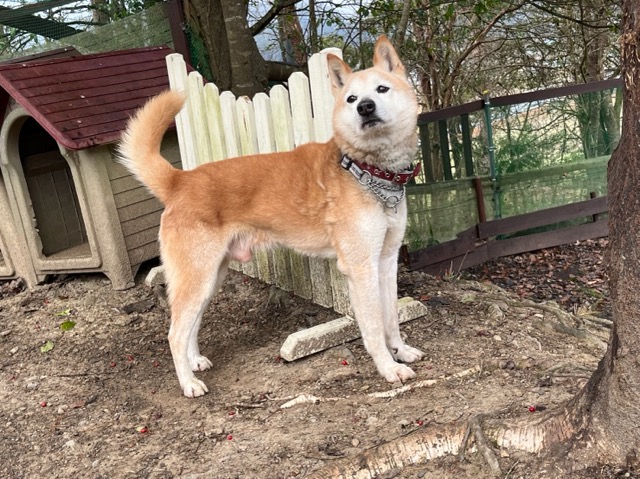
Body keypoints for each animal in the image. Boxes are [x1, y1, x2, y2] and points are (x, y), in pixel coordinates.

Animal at [118, 35, 425, 398]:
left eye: (381, 89)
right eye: (351, 98)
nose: (365, 107)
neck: (367, 171)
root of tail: (180, 180)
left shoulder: (386, 261)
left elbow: (392, 318)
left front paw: (401, 351)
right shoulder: (361, 268)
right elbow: (375, 327)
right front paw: (389, 367)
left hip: (210, 278)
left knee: (189, 325)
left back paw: (194, 363)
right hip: (198, 277)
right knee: (175, 333)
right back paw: (188, 383)